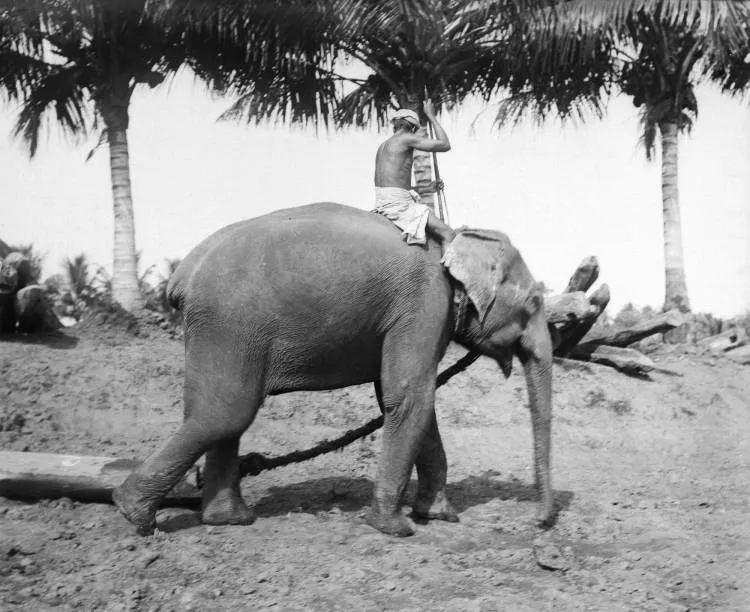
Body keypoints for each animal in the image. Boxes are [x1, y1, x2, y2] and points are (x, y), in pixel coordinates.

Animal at [112, 202, 553, 537]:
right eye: (534, 301)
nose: (540, 523)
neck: (454, 235)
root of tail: (181, 275)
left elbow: (409, 398)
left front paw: (440, 515)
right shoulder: (425, 301)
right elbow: (409, 395)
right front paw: (396, 529)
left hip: (218, 329)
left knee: (219, 415)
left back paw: (229, 520)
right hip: (229, 322)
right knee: (225, 413)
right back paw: (134, 513)